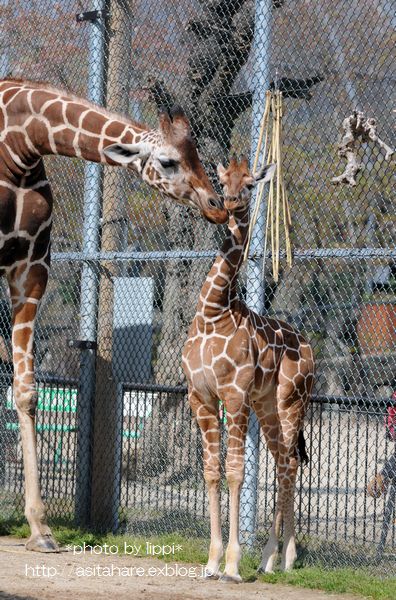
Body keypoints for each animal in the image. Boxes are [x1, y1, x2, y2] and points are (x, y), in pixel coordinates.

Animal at [0, 77, 226, 552]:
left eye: (197, 154)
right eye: (168, 161)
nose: (216, 203)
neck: (20, 145)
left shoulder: (31, 270)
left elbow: (25, 392)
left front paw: (40, 528)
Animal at [183, 155, 316, 580]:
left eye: (250, 184)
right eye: (224, 181)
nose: (229, 203)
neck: (213, 310)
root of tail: (308, 345)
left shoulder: (234, 394)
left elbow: (236, 471)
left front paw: (232, 564)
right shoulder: (200, 396)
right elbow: (211, 471)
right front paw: (211, 562)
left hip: (291, 402)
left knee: (287, 465)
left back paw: (275, 557)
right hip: (267, 406)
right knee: (285, 461)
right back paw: (279, 558)